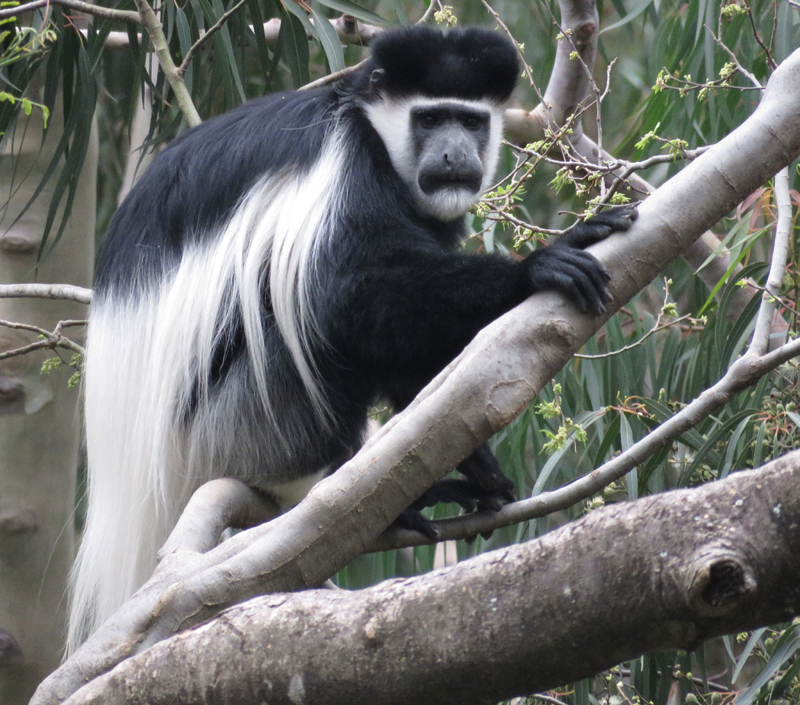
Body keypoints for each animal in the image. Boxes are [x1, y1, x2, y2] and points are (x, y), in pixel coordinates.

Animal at [73, 26, 636, 648]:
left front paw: (481, 464)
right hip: (228, 428)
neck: (367, 125)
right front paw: (536, 267)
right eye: (428, 119)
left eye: (469, 122)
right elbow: (343, 295)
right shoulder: (343, 166)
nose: (454, 155)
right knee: (294, 327)